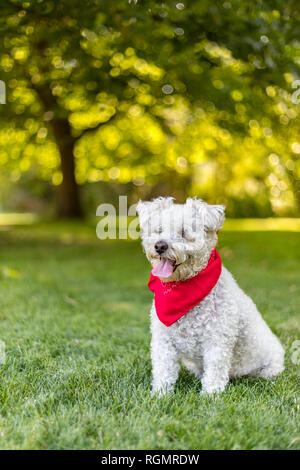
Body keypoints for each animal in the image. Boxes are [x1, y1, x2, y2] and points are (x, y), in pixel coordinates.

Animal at [137, 196, 284, 394]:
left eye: (183, 232)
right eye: (159, 229)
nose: (160, 245)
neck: (184, 289)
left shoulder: (217, 341)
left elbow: (215, 372)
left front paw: (210, 396)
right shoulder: (163, 341)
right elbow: (163, 370)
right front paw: (160, 394)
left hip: (270, 368)